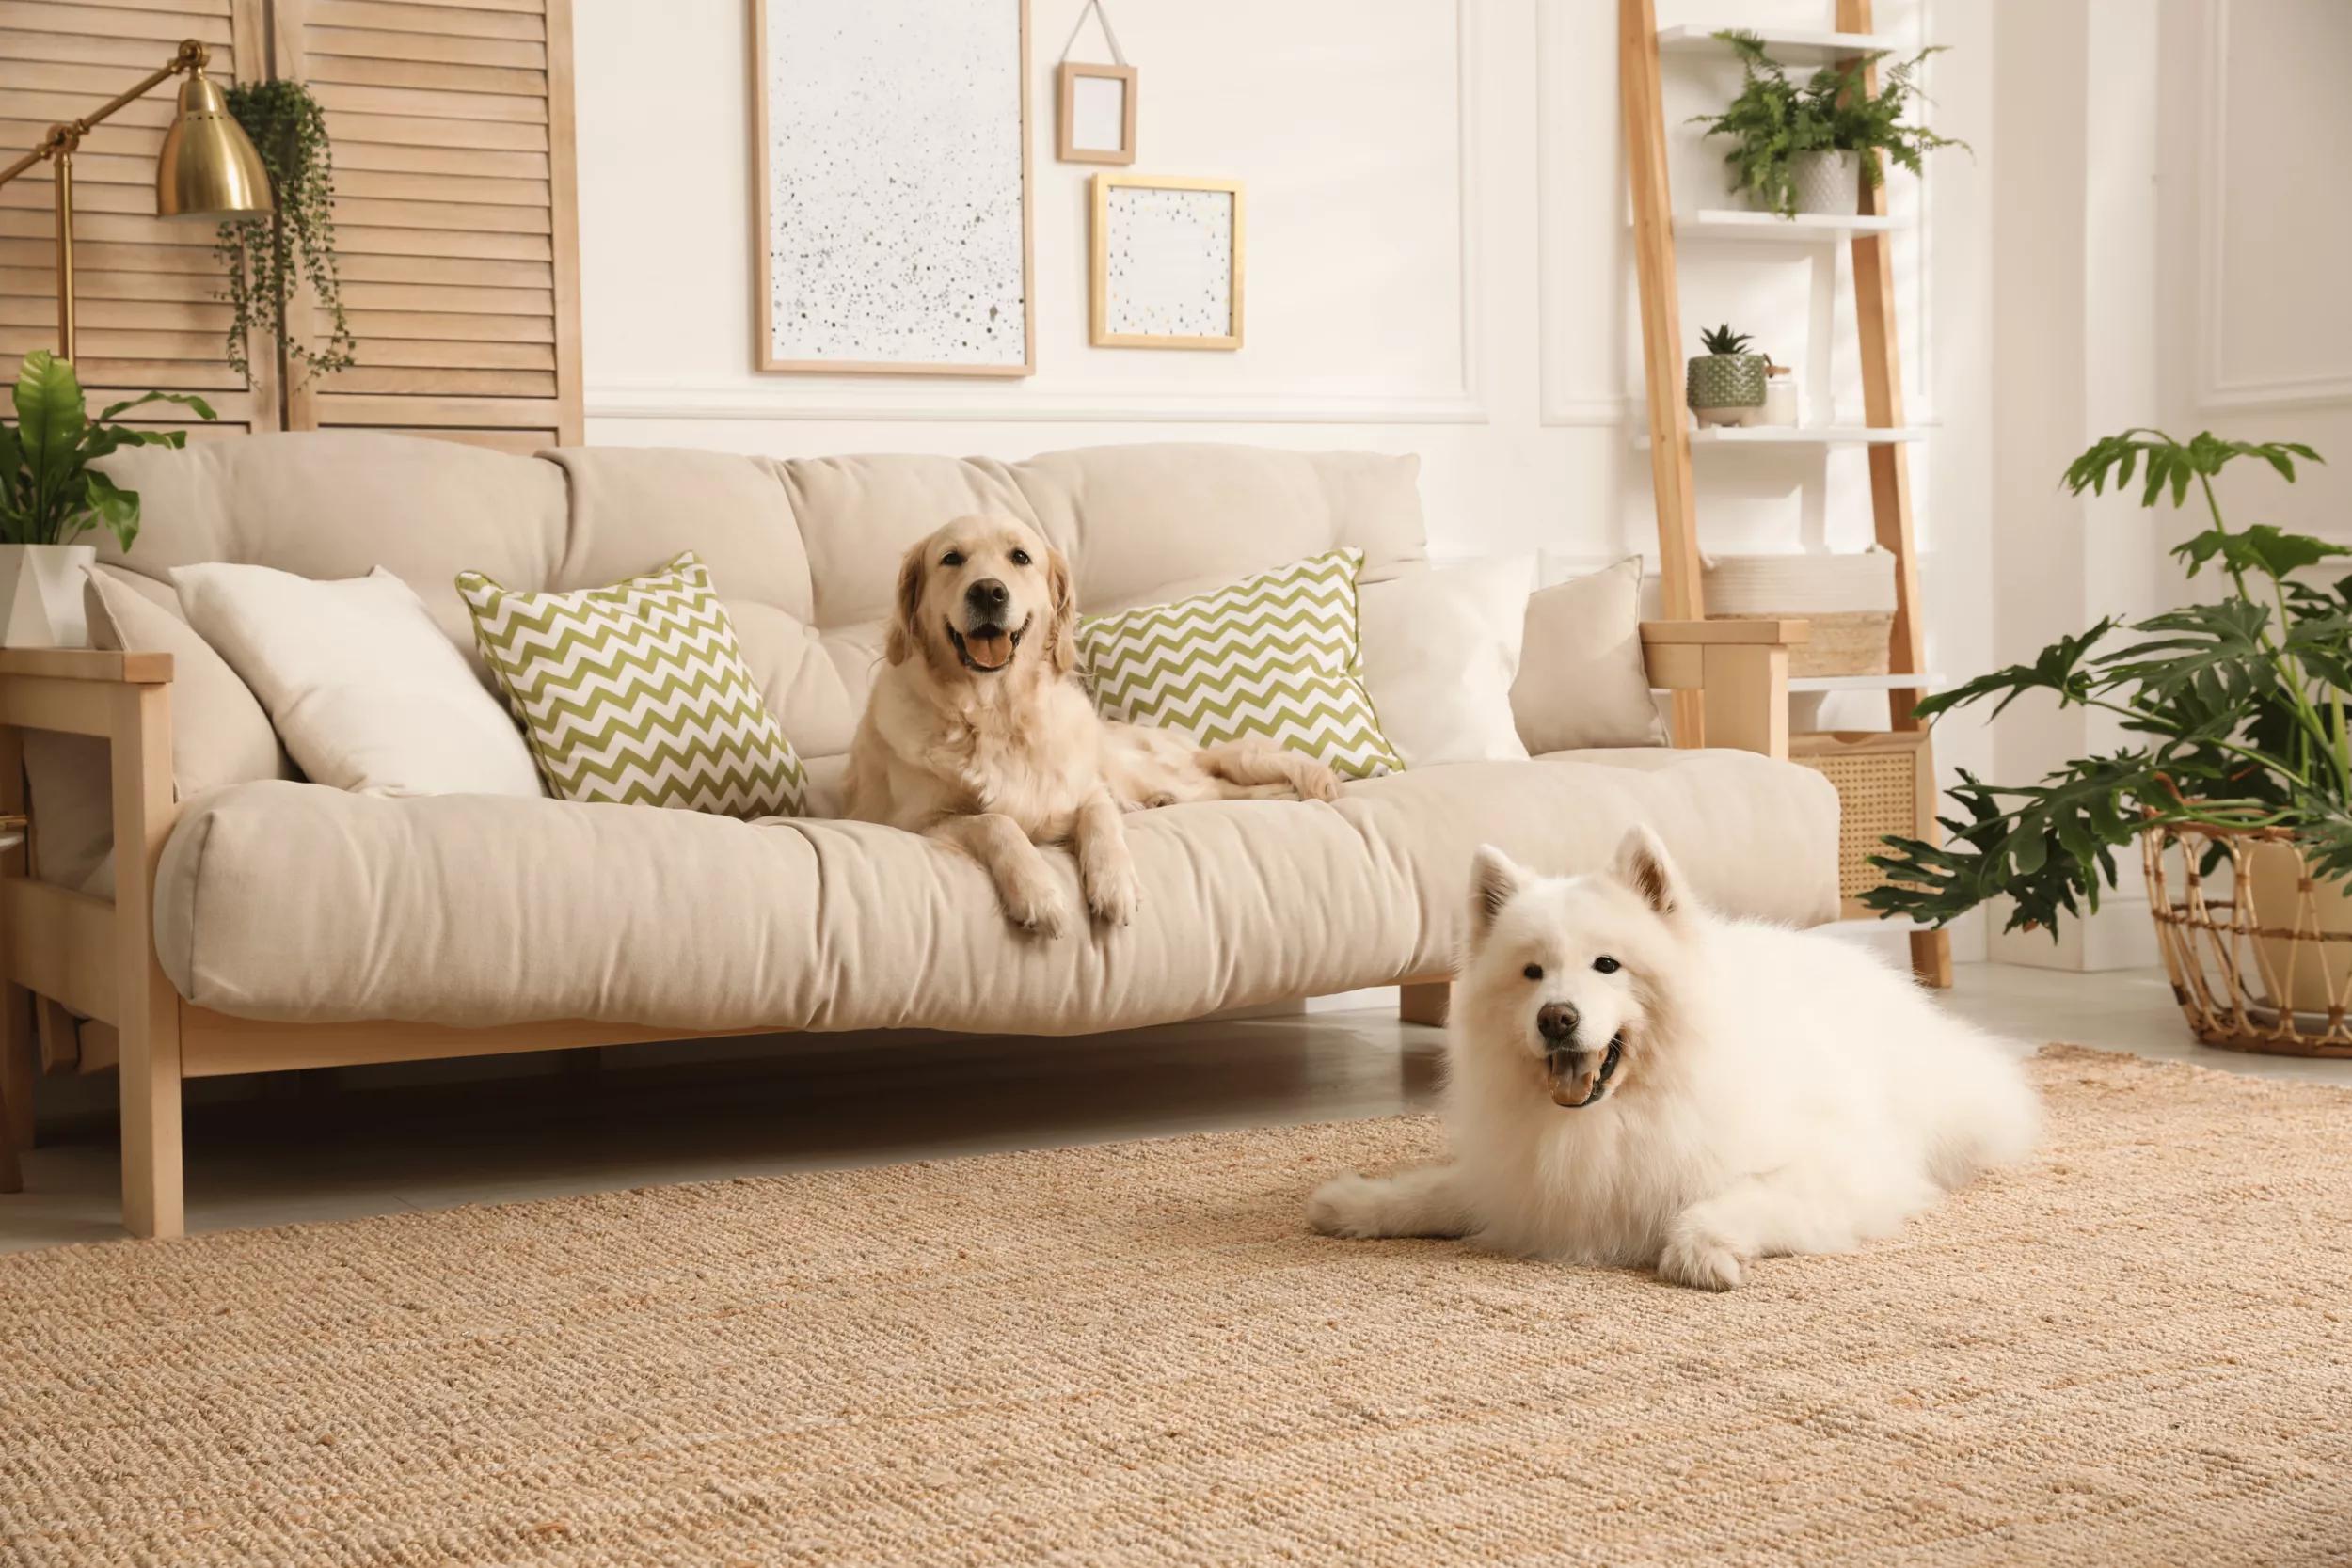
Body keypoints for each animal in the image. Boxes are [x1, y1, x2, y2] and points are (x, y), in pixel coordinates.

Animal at [1308, 827, 2042, 1297]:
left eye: (1607, 965)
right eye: (1531, 973)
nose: (1556, 1018)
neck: (1616, 1115)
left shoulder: (1841, 1170)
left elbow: (1731, 1200)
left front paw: (1699, 1251)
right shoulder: (1519, 1180)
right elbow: (1436, 1191)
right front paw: (1355, 1205)